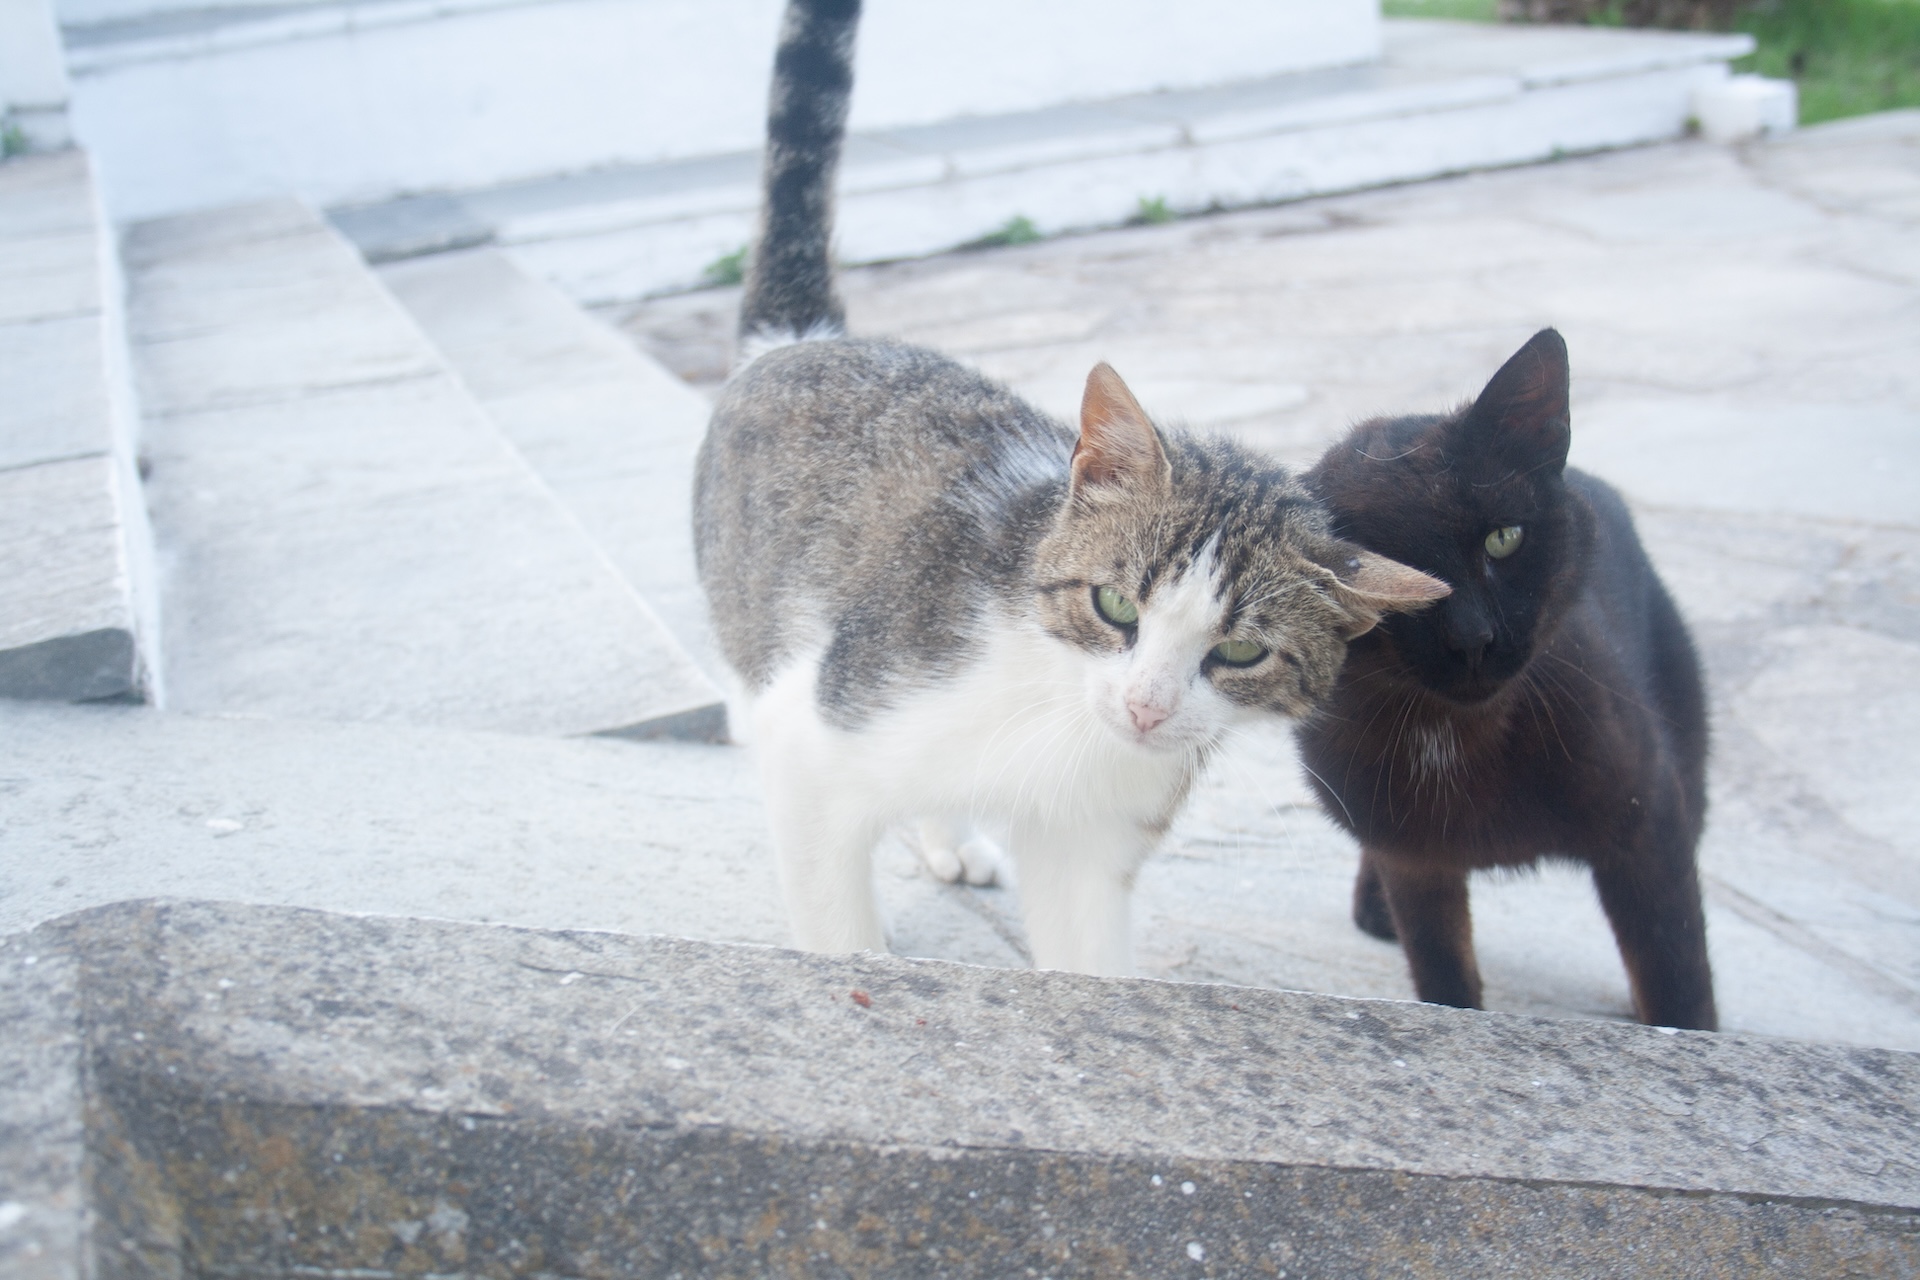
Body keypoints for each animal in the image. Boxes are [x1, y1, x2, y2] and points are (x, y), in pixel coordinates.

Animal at [691, 0, 1443, 974]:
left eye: (1242, 653)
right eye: (1115, 606)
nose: (1146, 708)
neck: (1057, 713)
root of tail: (799, 340)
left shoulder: (1093, 836)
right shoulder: (818, 734)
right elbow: (836, 921)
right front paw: (856, 961)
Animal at [1297, 328, 1720, 1028]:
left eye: (1504, 539)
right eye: (1379, 572)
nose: (1473, 639)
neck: (1458, 737)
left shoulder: (1648, 824)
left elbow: (1676, 973)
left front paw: (1681, 1035)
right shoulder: (1416, 859)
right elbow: (1444, 976)